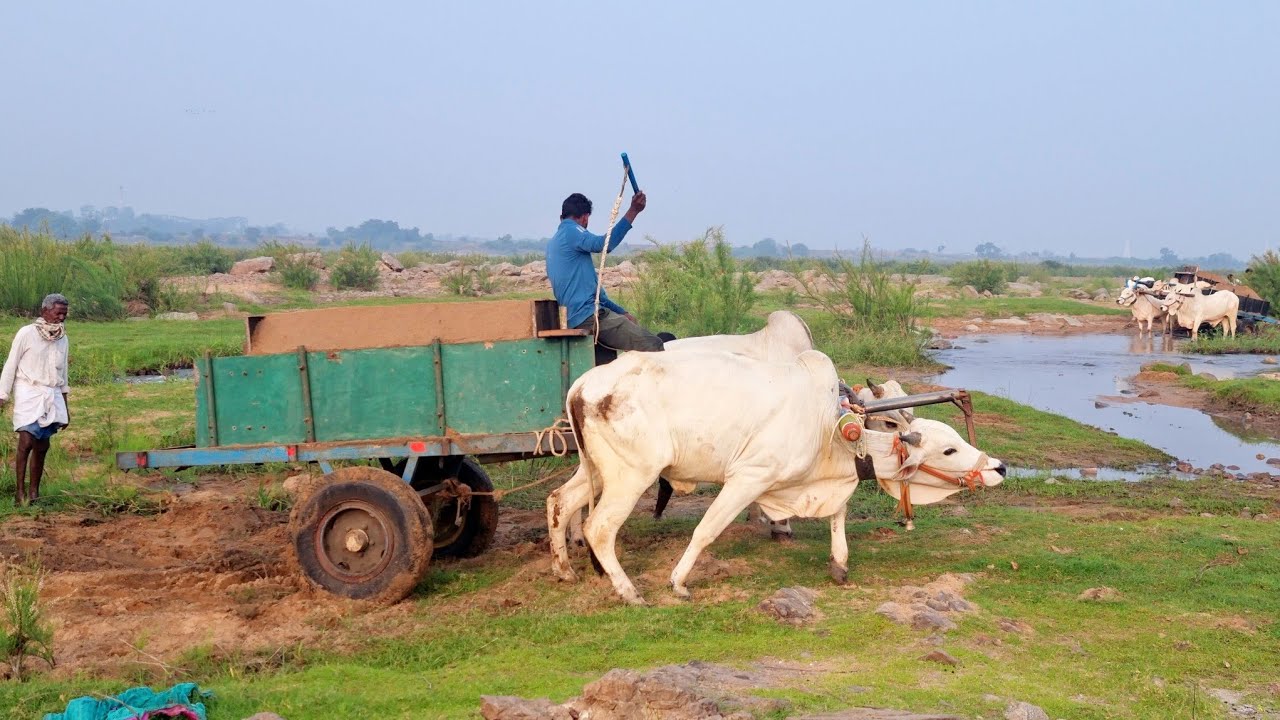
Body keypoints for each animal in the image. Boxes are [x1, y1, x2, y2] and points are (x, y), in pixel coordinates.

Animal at [546, 349, 1005, 605]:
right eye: (948, 449)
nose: (998, 467)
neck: (828, 425)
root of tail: (582, 385)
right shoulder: (749, 477)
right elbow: (706, 530)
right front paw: (677, 583)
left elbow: (838, 515)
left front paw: (839, 564)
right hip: (632, 476)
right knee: (598, 528)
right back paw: (630, 593)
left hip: (597, 470)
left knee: (559, 502)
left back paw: (564, 570)